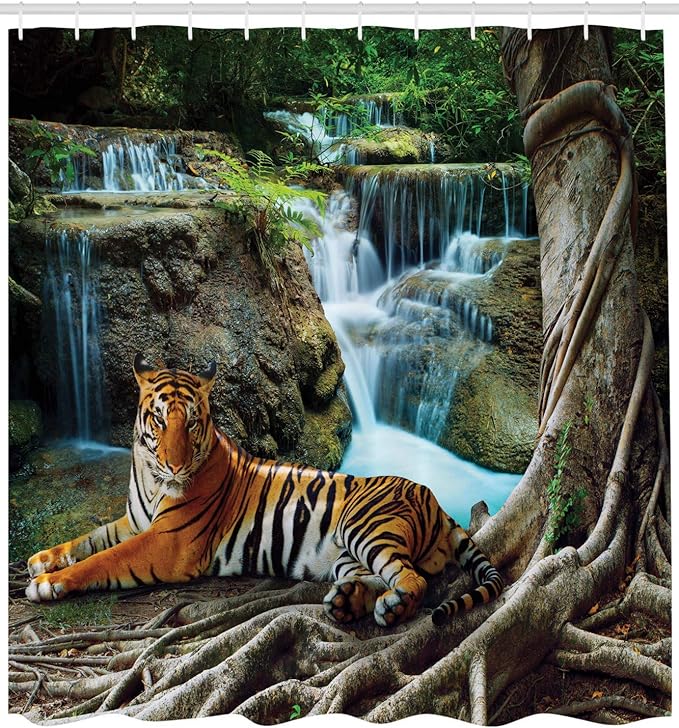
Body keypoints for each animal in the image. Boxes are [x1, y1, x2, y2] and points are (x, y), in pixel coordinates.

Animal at [26, 355, 504, 627]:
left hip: (366, 528)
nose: (175, 465)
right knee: (380, 577)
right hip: (348, 554)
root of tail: (436, 500)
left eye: (191, 423)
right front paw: (42, 559)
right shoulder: (135, 521)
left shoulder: (167, 543)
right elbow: (90, 539)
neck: (149, 475)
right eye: (159, 420)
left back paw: (390, 608)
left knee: (413, 579)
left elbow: (103, 559)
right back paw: (348, 603)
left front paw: (48, 584)